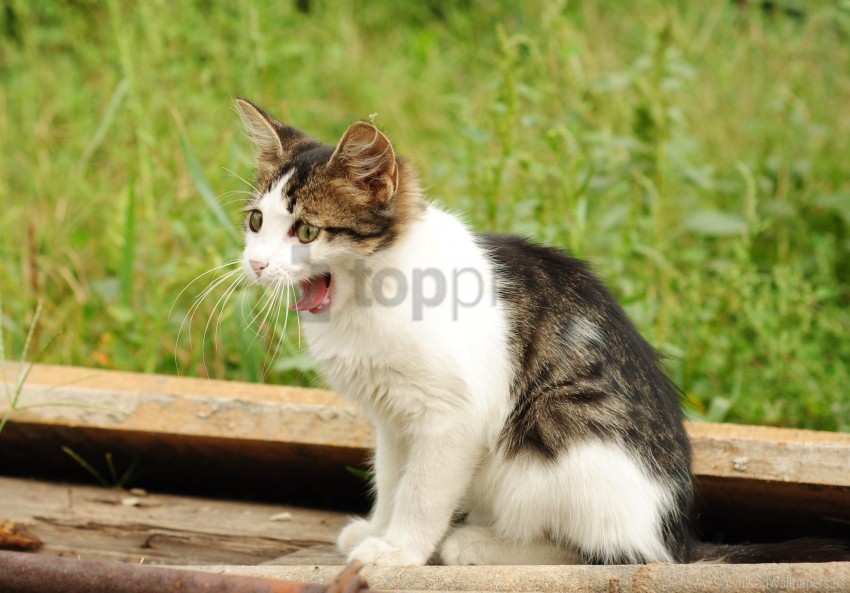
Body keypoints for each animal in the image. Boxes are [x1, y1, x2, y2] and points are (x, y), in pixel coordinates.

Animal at [232, 97, 840, 564]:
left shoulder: (453, 416)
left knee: (608, 553)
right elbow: (391, 476)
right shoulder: (393, 418)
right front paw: (379, 529)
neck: (365, 296)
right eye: (256, 222)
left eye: (307, 231)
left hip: (552, 439)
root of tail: (677, 537)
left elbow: (422, 490)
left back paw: (475, 545)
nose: (256, 264)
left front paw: (400, 550)